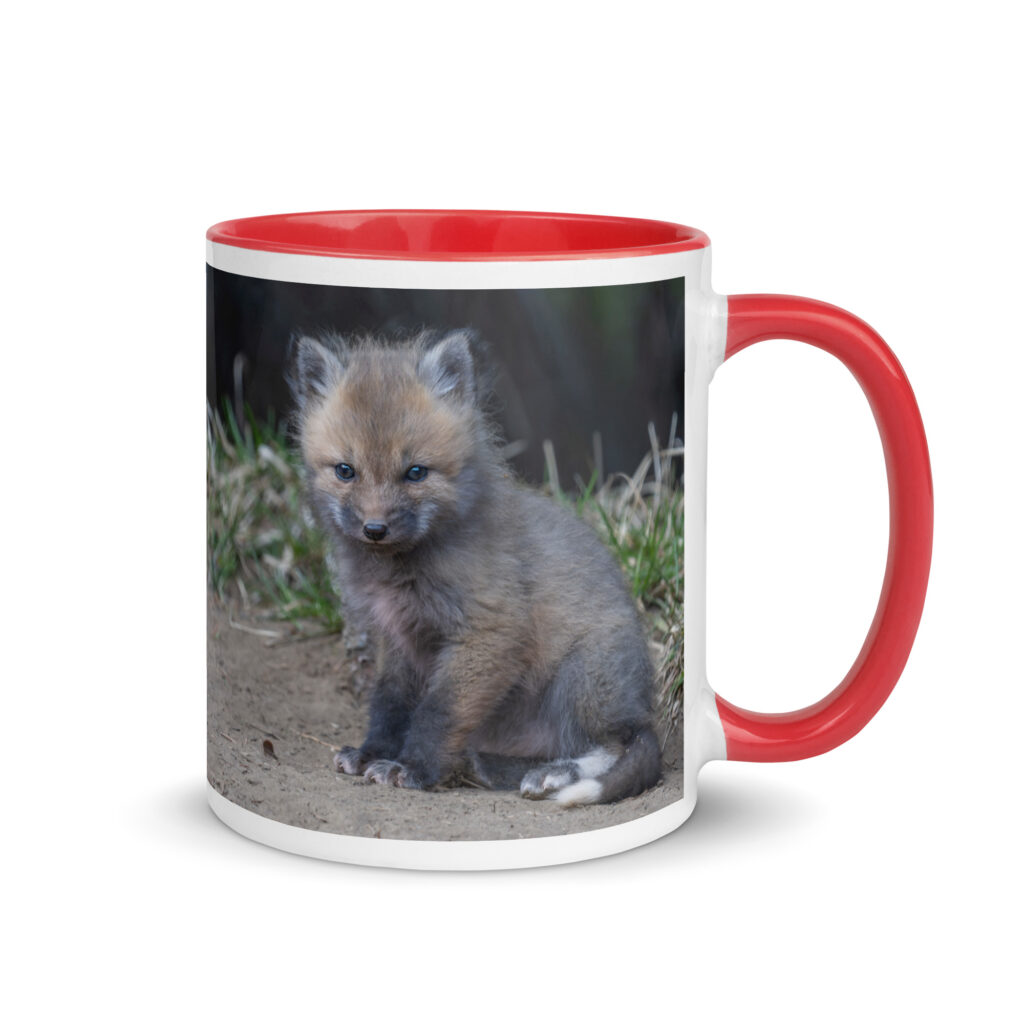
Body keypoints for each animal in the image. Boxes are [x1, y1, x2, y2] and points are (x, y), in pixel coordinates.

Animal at [288, 327, 661, 806]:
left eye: (415, 472)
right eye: (345, 471)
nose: (375, 529)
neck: (401, 571)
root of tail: (642, 705)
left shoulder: (488, 631)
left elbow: (438, 712)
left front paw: (413, 768)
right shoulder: (399, 640)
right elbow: (389, 704)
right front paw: (373, 753)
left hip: (581, 679)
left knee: (617, 744)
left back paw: (555, 774)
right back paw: (491, 767)